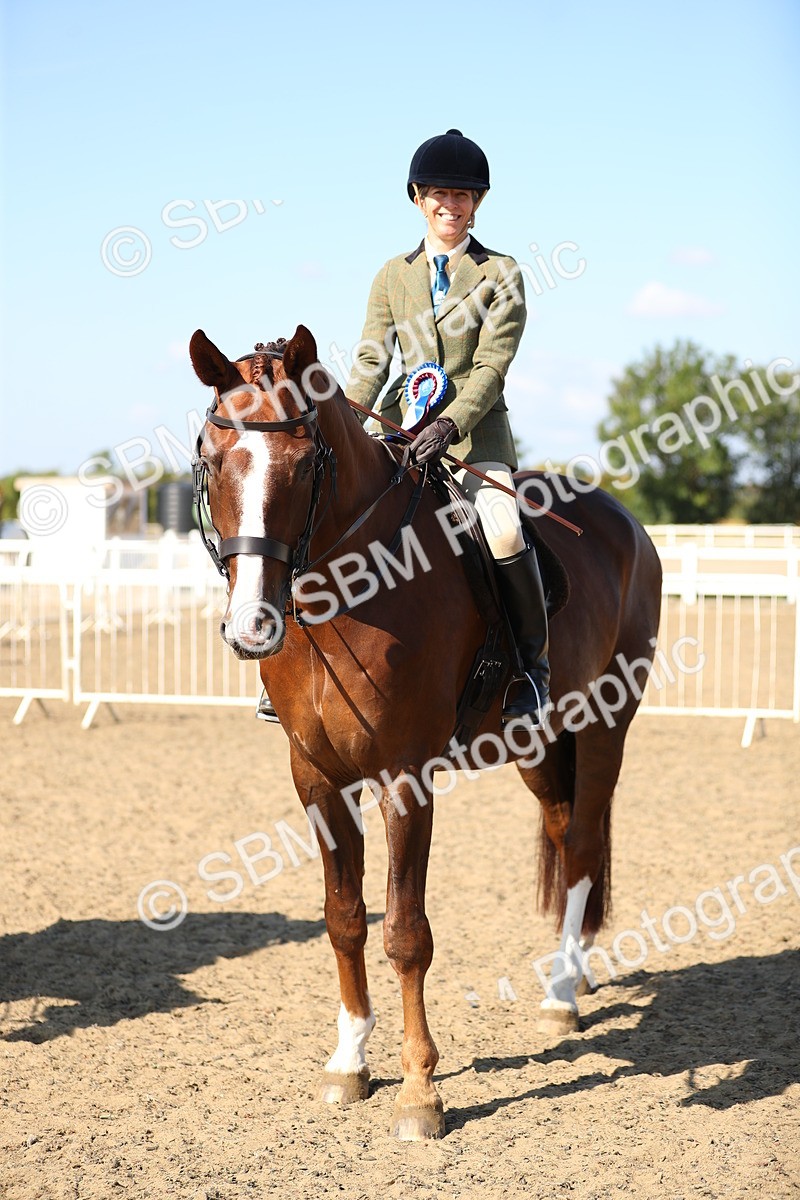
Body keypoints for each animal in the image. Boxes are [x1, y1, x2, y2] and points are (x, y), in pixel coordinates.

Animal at [189, 324, 663, 1140]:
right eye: (212, 459)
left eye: (305, 463)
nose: (252, 626)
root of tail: (625, 521)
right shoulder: (315, 778)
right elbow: (345, 917)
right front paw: (349, 1061)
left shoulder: (404, 779)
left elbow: (406, 932)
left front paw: (419, 1092)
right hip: (536, 743)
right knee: (564, 825)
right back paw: (569, 977)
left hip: (606, 723)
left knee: (581, 849)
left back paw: (561, 996)